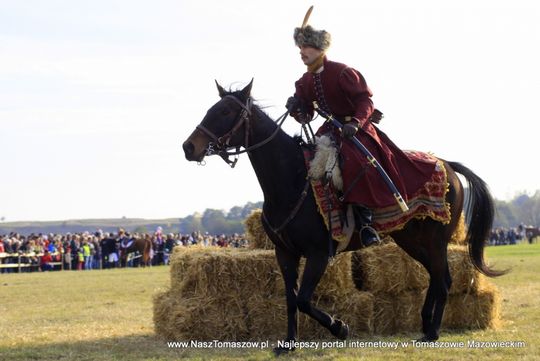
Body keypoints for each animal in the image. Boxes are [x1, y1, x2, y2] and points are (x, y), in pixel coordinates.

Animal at [182, 79, 506, 352]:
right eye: (212, 109)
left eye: (225, 111)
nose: (189, 147)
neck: (292, 180)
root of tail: (447, 165)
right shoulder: (284, 253)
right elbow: (291, 299)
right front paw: (289, 343)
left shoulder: (318, 253)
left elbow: (304, 299)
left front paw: (340, 327)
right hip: (411, 240)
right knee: (435, 277)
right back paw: (425, 326)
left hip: (435, 239)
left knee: (445, 278)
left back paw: (434, 331)